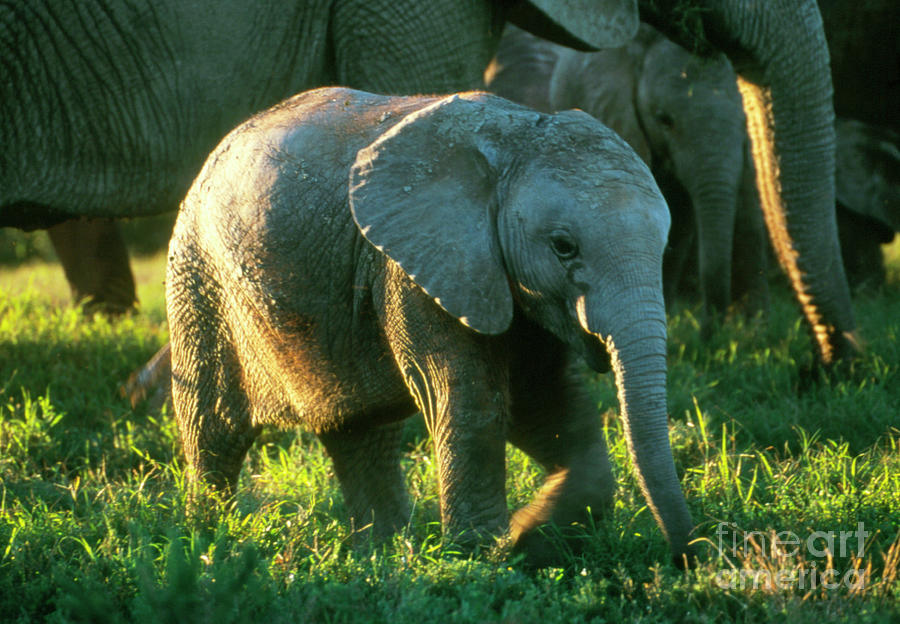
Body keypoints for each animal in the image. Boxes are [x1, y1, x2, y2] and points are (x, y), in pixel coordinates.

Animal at [166, 87, 695, 567]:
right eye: (564, 246)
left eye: (665, 245)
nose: (687, 558)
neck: (516, 137)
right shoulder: (415, 268)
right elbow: (479, 400)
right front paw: (484, 557)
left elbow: (542, 399)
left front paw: (530, 539)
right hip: (198, 278)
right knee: (213, 429)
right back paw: (206, 548)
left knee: (359, 428)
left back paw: (382, 559)